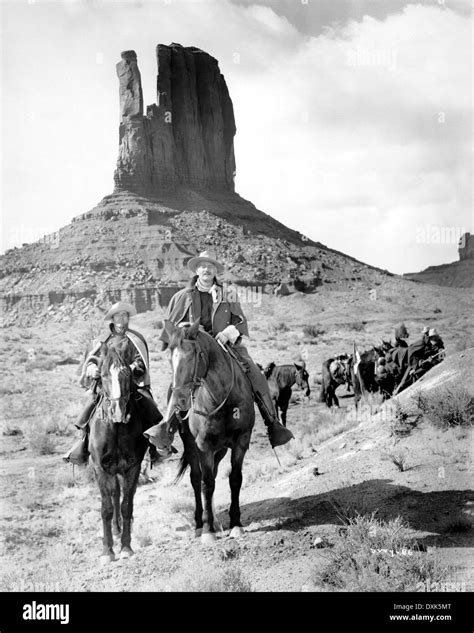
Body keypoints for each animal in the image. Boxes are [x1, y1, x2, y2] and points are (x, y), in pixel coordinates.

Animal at [87, 338, 149, 564]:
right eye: (103, 375)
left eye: (127, 375)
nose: (118, 411)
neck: (115, 428)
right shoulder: (100, 468)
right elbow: (106, 508)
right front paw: (107, 551)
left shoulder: (133, 467)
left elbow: (126, 504)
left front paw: (126, 547)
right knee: (113, 496)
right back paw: (116, 528)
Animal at [161, 320, 256, 544]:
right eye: (170, 357)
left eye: (192, 355)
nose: (180, 400)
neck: (222, 399)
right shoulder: (203, 445)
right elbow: (206, 483)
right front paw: (207, 530)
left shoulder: (241, 441)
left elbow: (235, 479)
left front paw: (236, 523)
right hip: (192, 446)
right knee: (196, 479)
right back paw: (199, 523)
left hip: (220, 449)